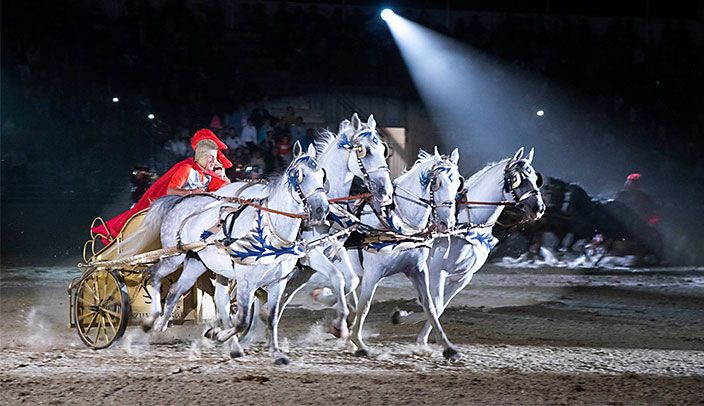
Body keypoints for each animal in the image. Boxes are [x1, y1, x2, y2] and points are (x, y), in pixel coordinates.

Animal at [144, 141, 330, 364]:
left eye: (322, 174)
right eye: (298, 174)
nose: (321, 210)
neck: (270, 231)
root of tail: (179, 202)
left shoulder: (278, 282)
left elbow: (271, 317)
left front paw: (276, 352)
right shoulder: (246, 282)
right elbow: (242, 320)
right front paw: (217, 334)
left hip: (197, 263)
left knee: (176, 291)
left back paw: (162, 325)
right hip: (174, 257)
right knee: (154, 275)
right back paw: (152, 320)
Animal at [346, 147, 462, 360]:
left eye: (458, 182)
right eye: (437, 182)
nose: (447, 224)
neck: (399, 225)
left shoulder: (417, 269)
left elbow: (430, 305)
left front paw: (449, 348)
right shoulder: (372, 273)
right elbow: (365, 306)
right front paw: (358, 342)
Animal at [418, 147, 544, 348]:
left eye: (535, 178)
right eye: (516, 178)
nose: (538, 208)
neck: (467, 225)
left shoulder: (462, 277)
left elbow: (440, 307)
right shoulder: (437, 271)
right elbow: (434, 304)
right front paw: (420, 338)